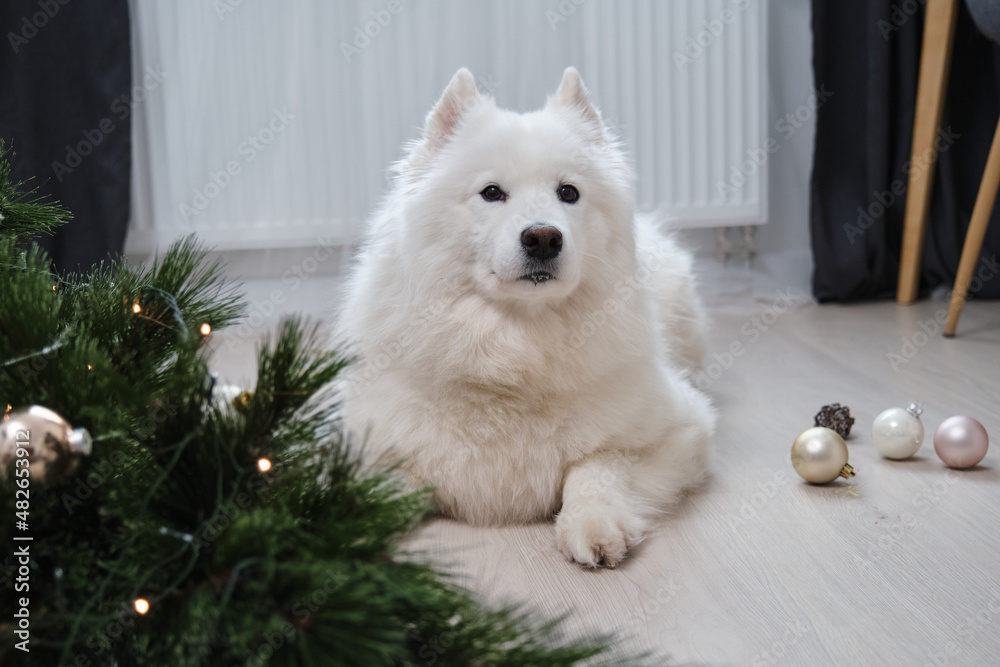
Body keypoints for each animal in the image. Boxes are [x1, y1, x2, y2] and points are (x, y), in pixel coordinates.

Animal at [336, 68, 712, 568]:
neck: (515, 347)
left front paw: (592, 522)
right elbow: (385, 486)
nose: (543, 238)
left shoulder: (678, 431)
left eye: (568, 193)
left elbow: (596, 465)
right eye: (492, 193)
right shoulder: (377, 443)